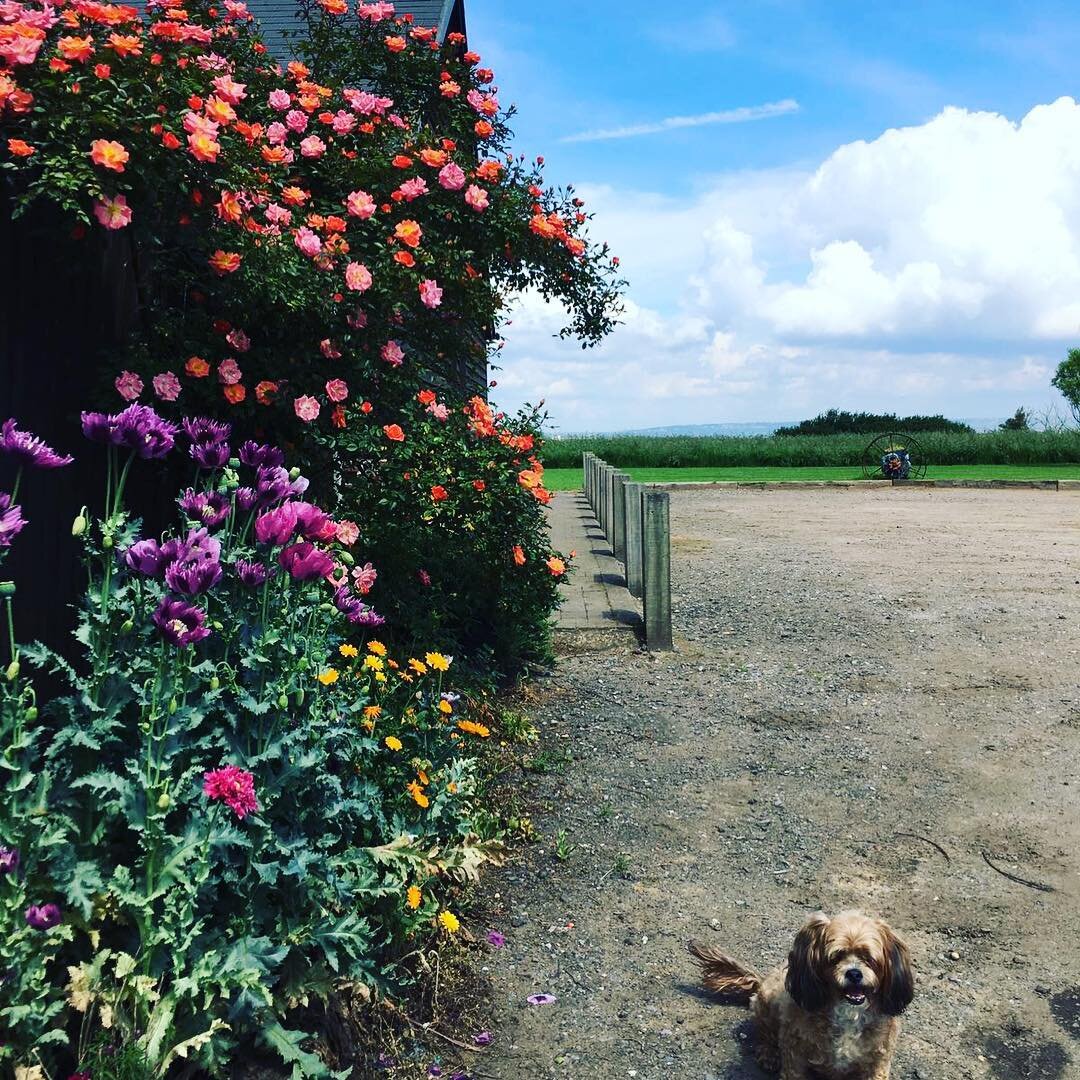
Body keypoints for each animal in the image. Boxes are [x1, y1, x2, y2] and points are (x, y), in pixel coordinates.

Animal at [691, 911, 911, 1080]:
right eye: (836, 957)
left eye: (868, 958)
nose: (854, 973)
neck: (847, 1013)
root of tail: (761, 980)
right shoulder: (794, 1055)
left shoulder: (877, 1061)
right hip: (767, 1005)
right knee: (764, 1033)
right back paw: (769, 1054)